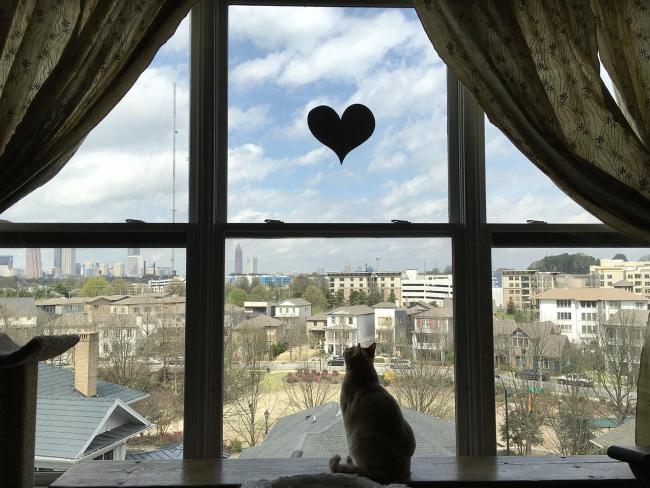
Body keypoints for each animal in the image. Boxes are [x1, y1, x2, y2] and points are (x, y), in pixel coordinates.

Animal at [330, 342, 416, 482]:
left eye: (349, 349)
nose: (345, 348)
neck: (366, 380)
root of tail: (394, 470)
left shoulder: (346, 420)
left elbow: (347, 441)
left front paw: (349, 459)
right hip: (407, 427)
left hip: (357, 435)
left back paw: (351, 464)